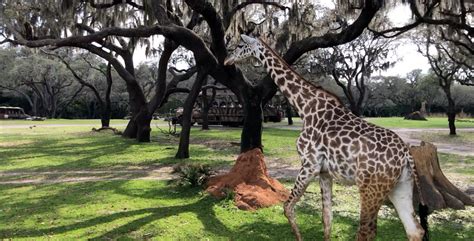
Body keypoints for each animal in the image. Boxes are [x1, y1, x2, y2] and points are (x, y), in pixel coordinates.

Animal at [224, 34, 424, 241]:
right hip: (400, 186)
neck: (305, 107)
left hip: (371, 188)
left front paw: (299, 238)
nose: (226, 60)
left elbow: (287, 207)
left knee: (366, 232)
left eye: (240, 45)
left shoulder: (309, 164)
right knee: (415, 230)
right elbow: (327, 218)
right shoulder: (324, 171)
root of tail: (405, 155)